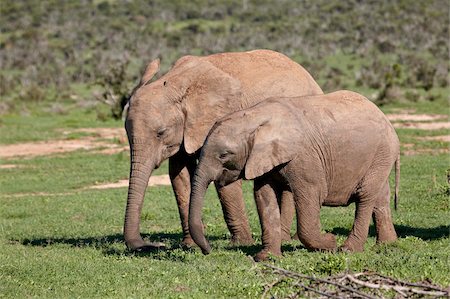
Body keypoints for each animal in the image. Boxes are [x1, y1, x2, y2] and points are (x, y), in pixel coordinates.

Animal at [122, 49, 324, 251]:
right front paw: (189, 245)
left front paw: (240, 244)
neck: (175, 82)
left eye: (161, 133)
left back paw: (286, 239)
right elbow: (179, 174)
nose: (152, 244)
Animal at [188, 90, 400, 262]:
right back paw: (387, 245)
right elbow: (264, 197)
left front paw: (329, 243)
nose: (208, 250)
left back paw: (348, 250)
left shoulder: (304, 156)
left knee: (365, 197)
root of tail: (386, 119)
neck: (254, 117)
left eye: (224, 155)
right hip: (380, 158)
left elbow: (311, 194)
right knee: (380, 197)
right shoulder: (263, 158)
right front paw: (266, 258)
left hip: (381, 152)